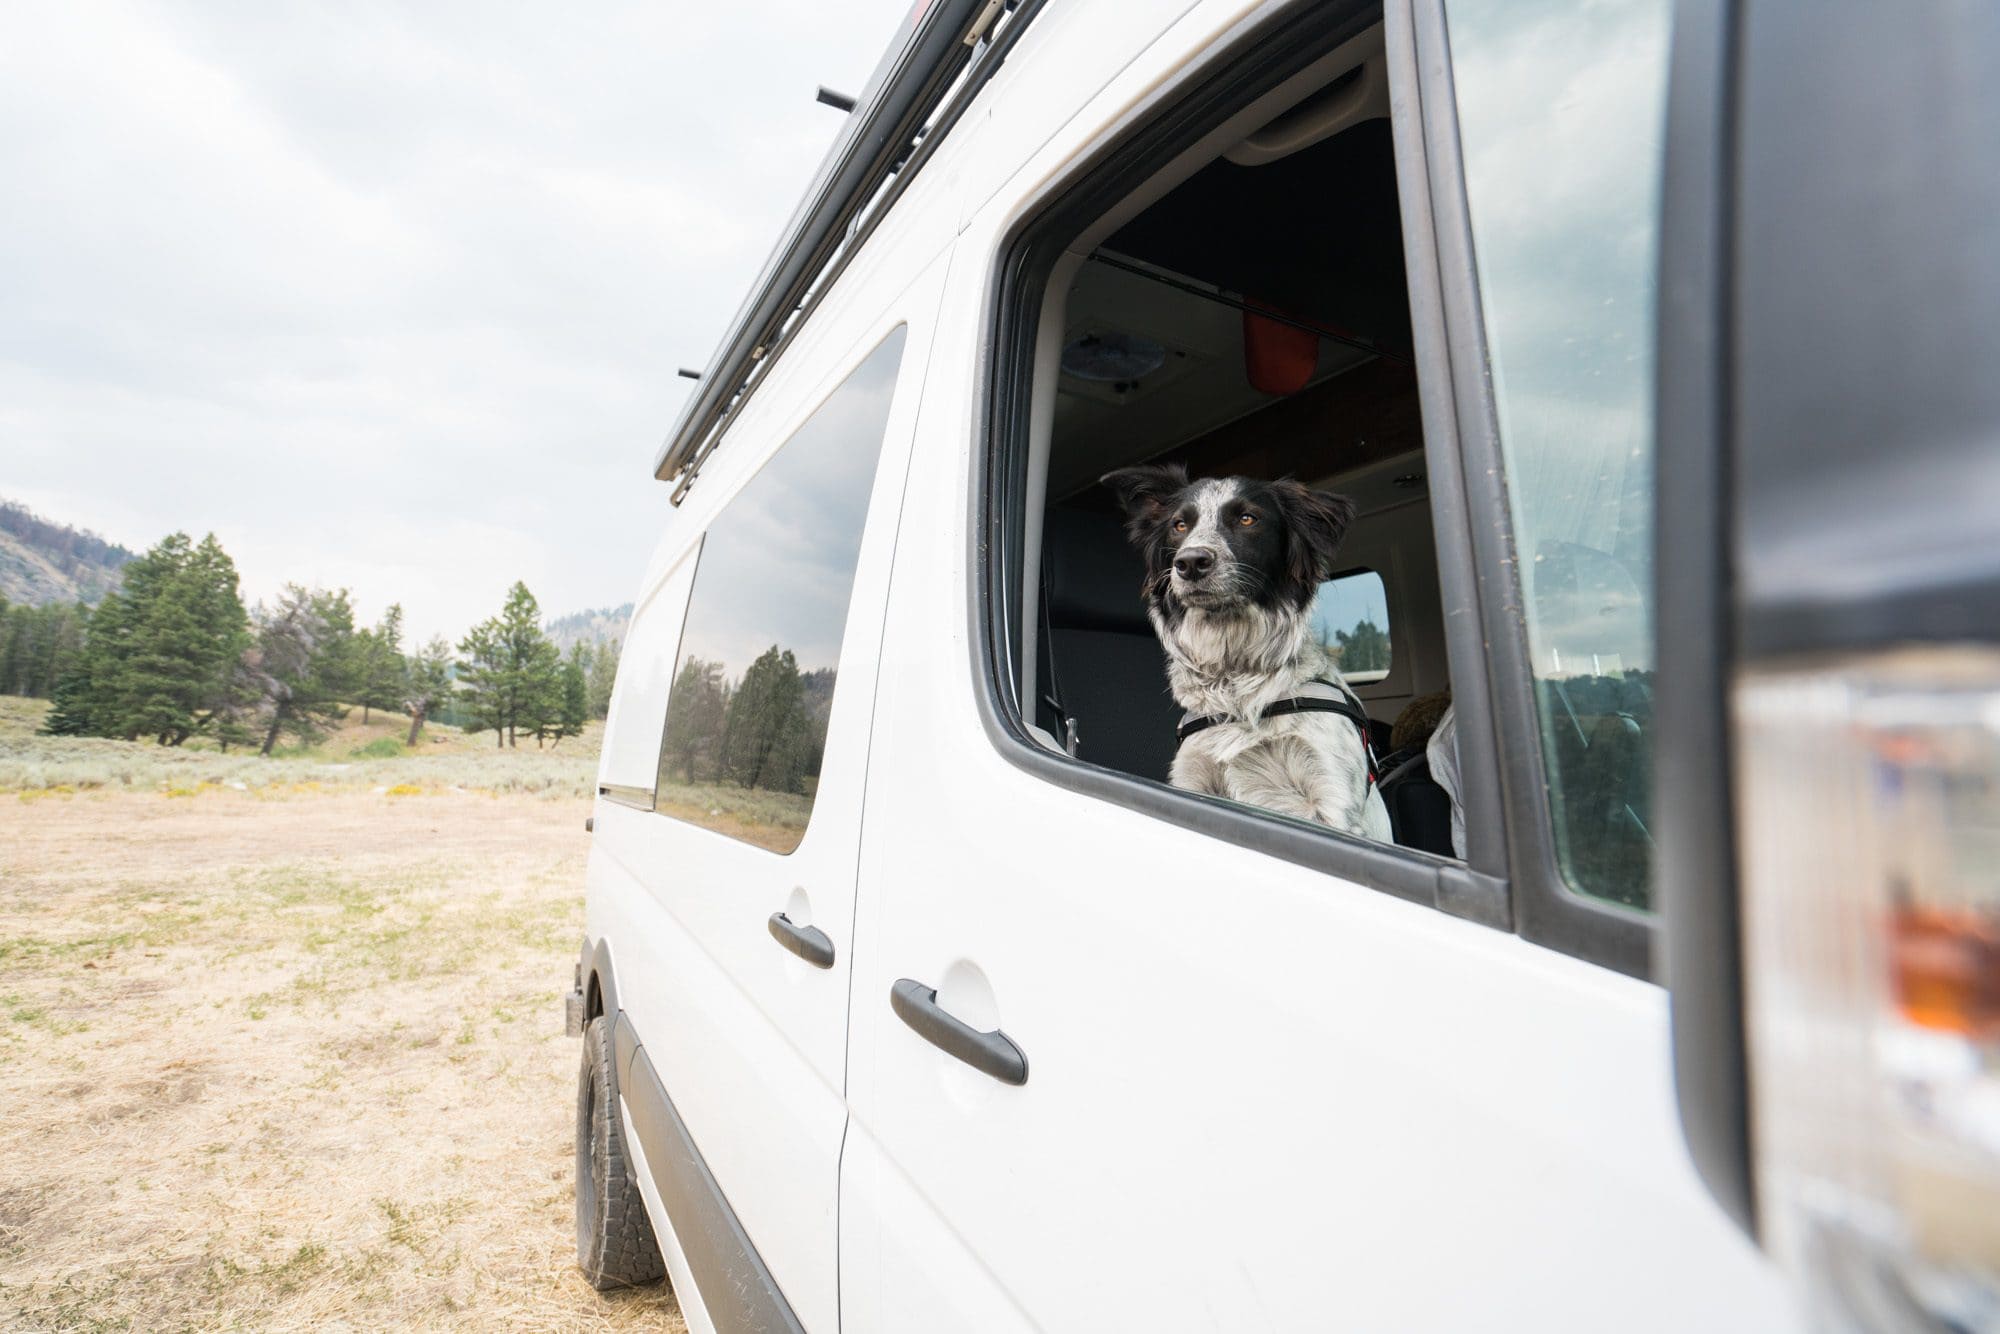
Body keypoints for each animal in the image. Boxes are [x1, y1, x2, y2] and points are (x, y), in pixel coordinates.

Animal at [1104, 468, 1400, 844]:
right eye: (1179, 525)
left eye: (1247, 518)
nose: (1190, 562)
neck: (1235, 682)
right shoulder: (1193, 781)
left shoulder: (1331, 801)